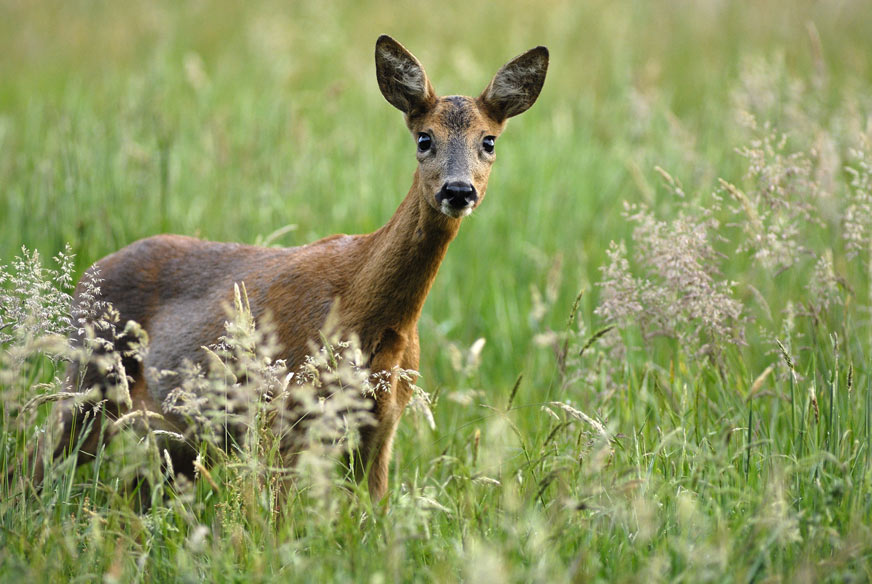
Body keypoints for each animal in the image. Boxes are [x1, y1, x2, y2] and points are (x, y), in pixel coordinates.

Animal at [23, 36, 548, 502]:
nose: (458, 191)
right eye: (424, 138)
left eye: (489, 142)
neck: (369, 317)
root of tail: (86, 277)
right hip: (86, 383)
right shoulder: (284, 412)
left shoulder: (384, 420)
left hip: (170, 435)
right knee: (33, 464)